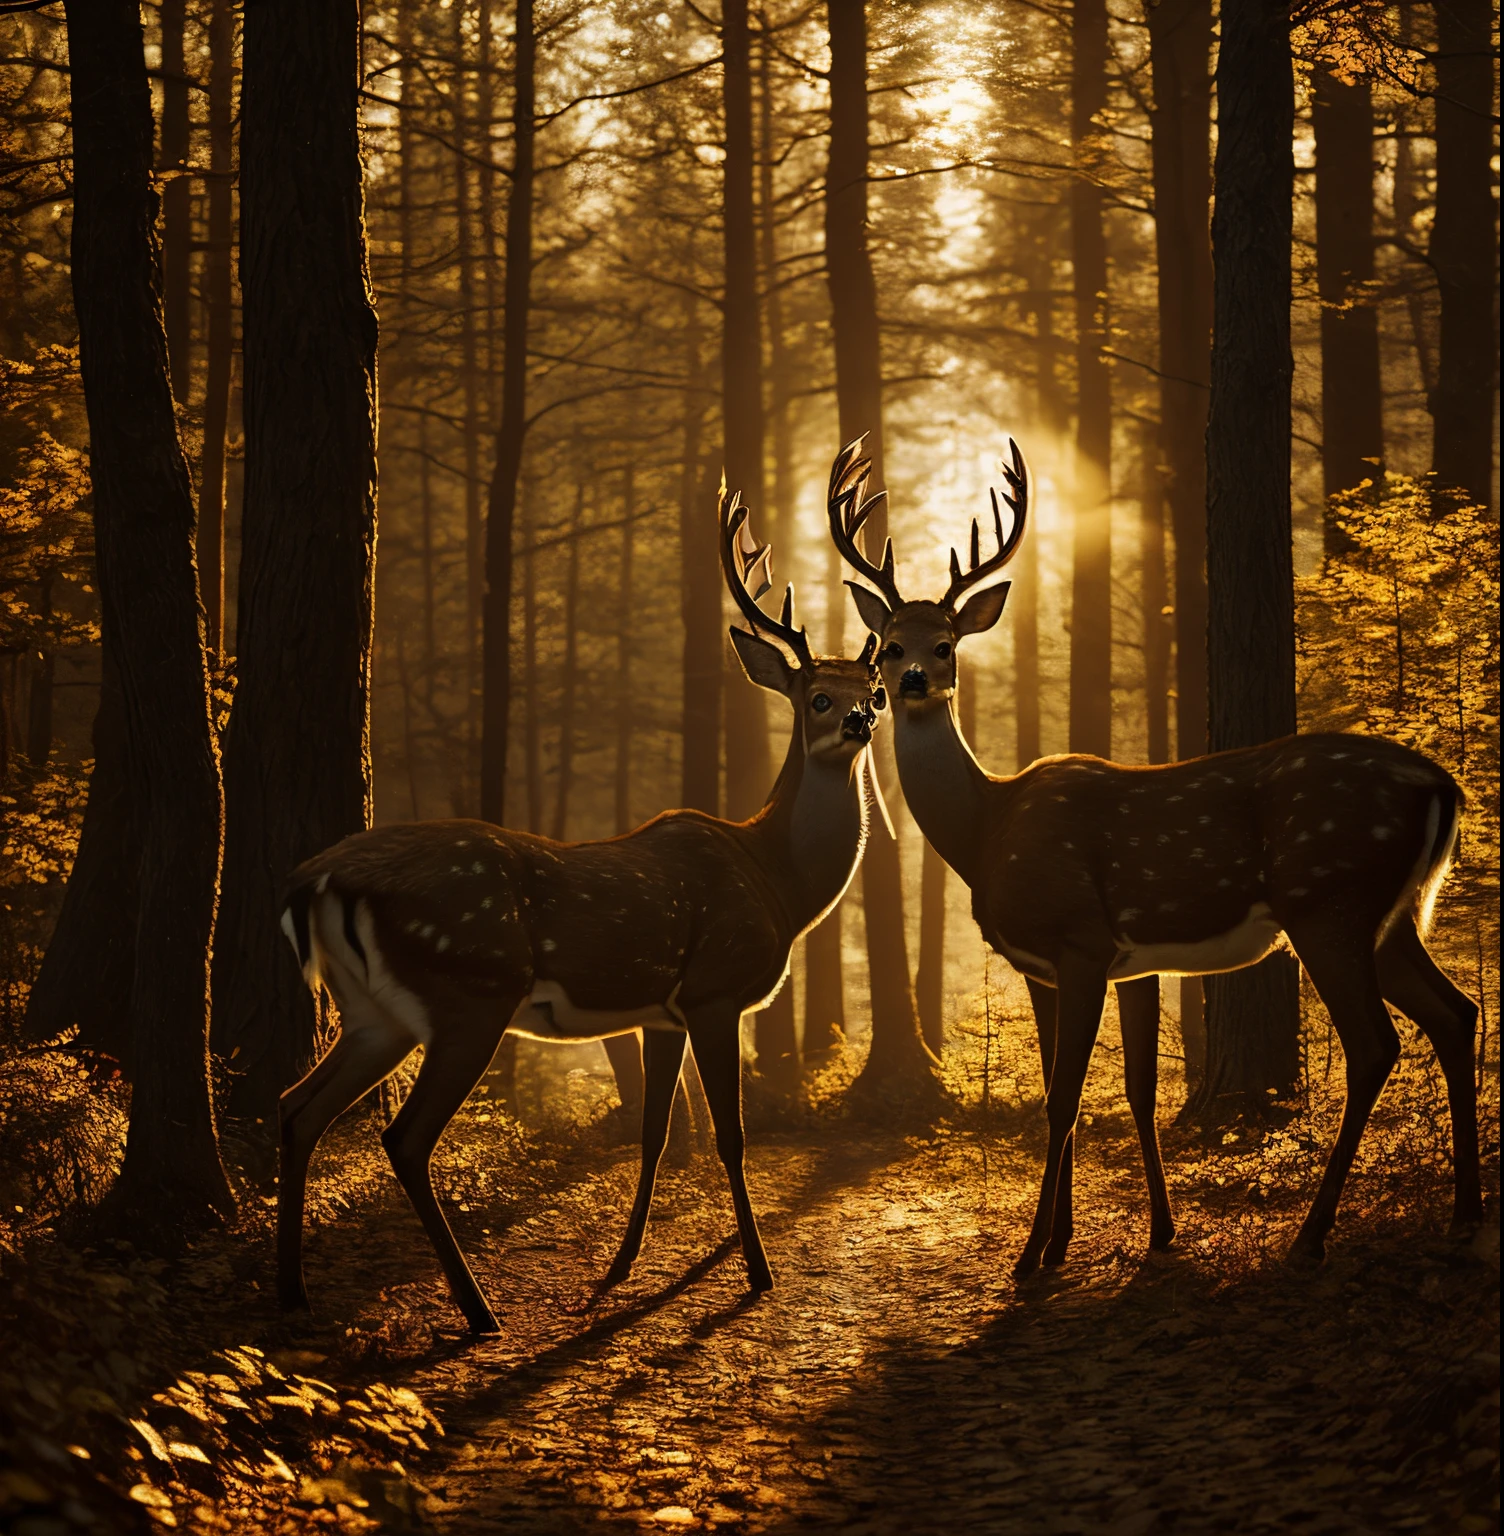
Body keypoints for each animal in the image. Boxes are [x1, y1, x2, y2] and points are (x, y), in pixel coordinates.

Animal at [276, 482, 891, 1333]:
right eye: (817, 696)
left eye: (877, 690)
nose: (861, 720)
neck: (777, 882)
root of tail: (314, 882)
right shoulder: (715, 991)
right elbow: (731, 1136)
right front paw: (758, 1272)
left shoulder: (660, 1013)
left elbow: (656, 1132)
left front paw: (623, 1264)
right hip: (469, 991)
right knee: (403, 1138)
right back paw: (477, 1310)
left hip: (373, 1013)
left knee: (296, 1107)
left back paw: (293, 1293)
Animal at [829, 439, 1487, 1277]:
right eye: (887, 647)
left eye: (945, 645)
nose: (912, 679)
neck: (987, 830)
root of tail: (1443, 784)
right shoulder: (1080, 964)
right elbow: (1119, 1091)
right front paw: (1108, 1237)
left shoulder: (1078, 939)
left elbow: (1066, 1097)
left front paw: (1033, 1254)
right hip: (1393, 917)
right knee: (1457, 1013)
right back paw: (1464, 1213)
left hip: (1328, 900)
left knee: (1375, 1043)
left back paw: (1312, 1235)